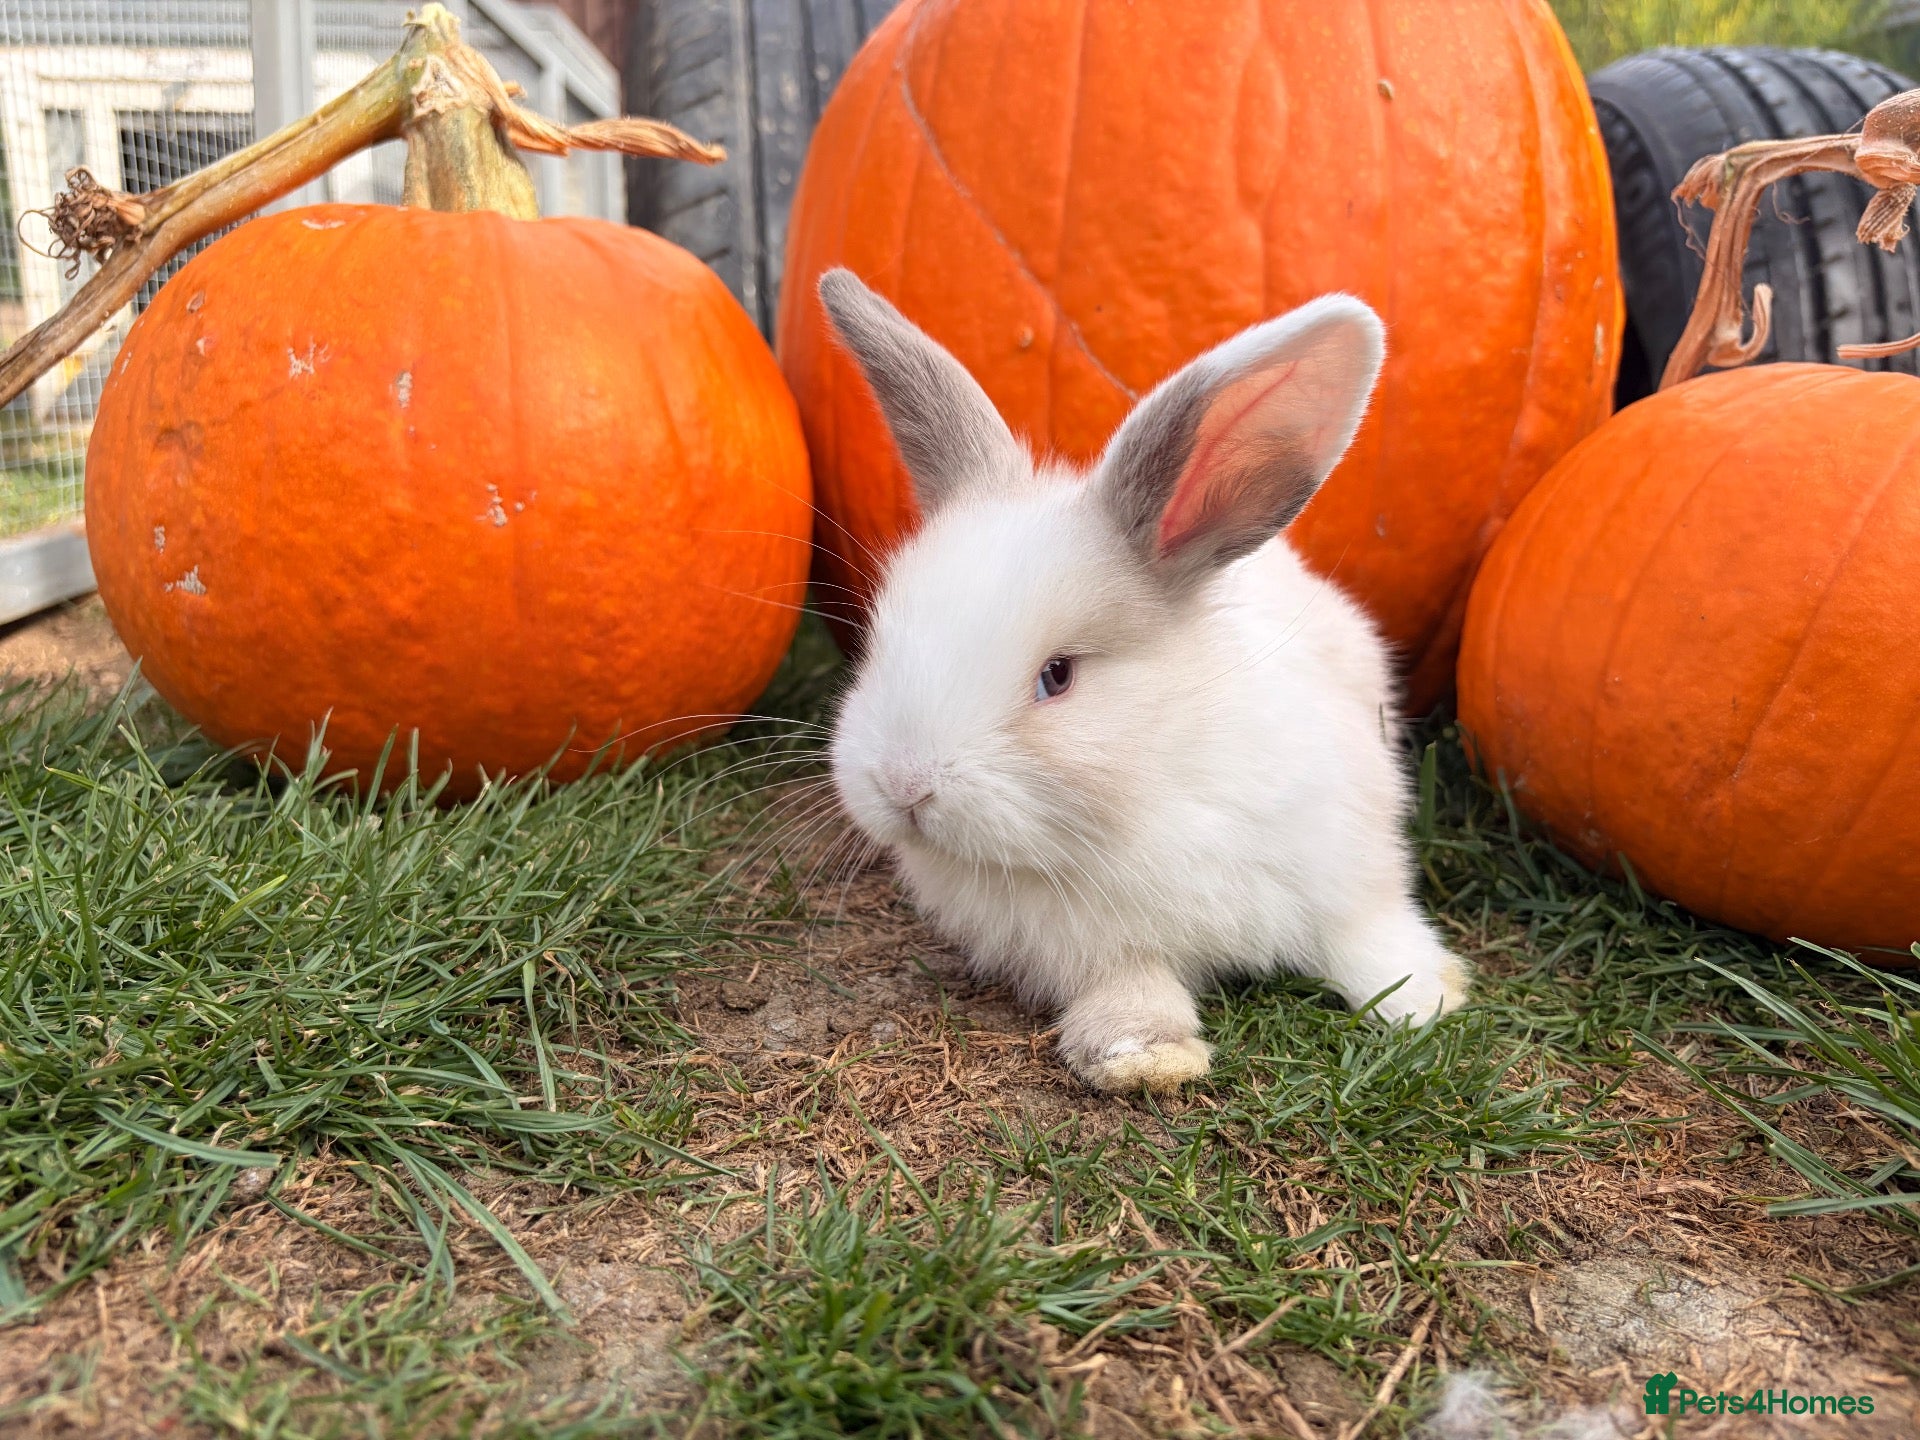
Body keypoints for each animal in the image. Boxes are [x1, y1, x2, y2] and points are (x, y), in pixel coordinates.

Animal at [817, 268, 1469, 1094]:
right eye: (879, 641)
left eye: (1057, 676)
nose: (903, 786)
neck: (1148, 792)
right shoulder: (1097, 952)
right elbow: (1133, 987)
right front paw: (1147, 1059)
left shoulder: (1352, 860)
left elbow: (1368, 937)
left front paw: (1431, 1000)